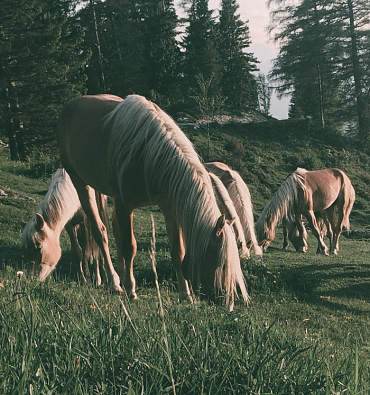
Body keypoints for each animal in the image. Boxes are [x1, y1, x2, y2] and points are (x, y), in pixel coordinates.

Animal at [57, 93, 249, 310]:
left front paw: (185, 294)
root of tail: (70, 105)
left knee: (113, 230)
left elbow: (178, 252)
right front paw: (131, 290)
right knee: (101, 232)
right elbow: (129, 247)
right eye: (222, 264)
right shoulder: (125, 205)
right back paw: (115, 282)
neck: (149, 154)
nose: (229, 303)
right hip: (81, 183)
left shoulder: (169, 208)